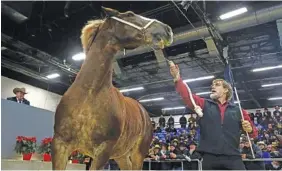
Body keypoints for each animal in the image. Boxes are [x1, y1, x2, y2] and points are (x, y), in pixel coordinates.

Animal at [51, 7, 173, 170]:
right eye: (129, 14)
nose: (167, 29)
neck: (89, 94)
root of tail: (144, 112)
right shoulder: (60, 144)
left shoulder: (104, 151)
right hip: (121, 155)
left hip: (138, 154)